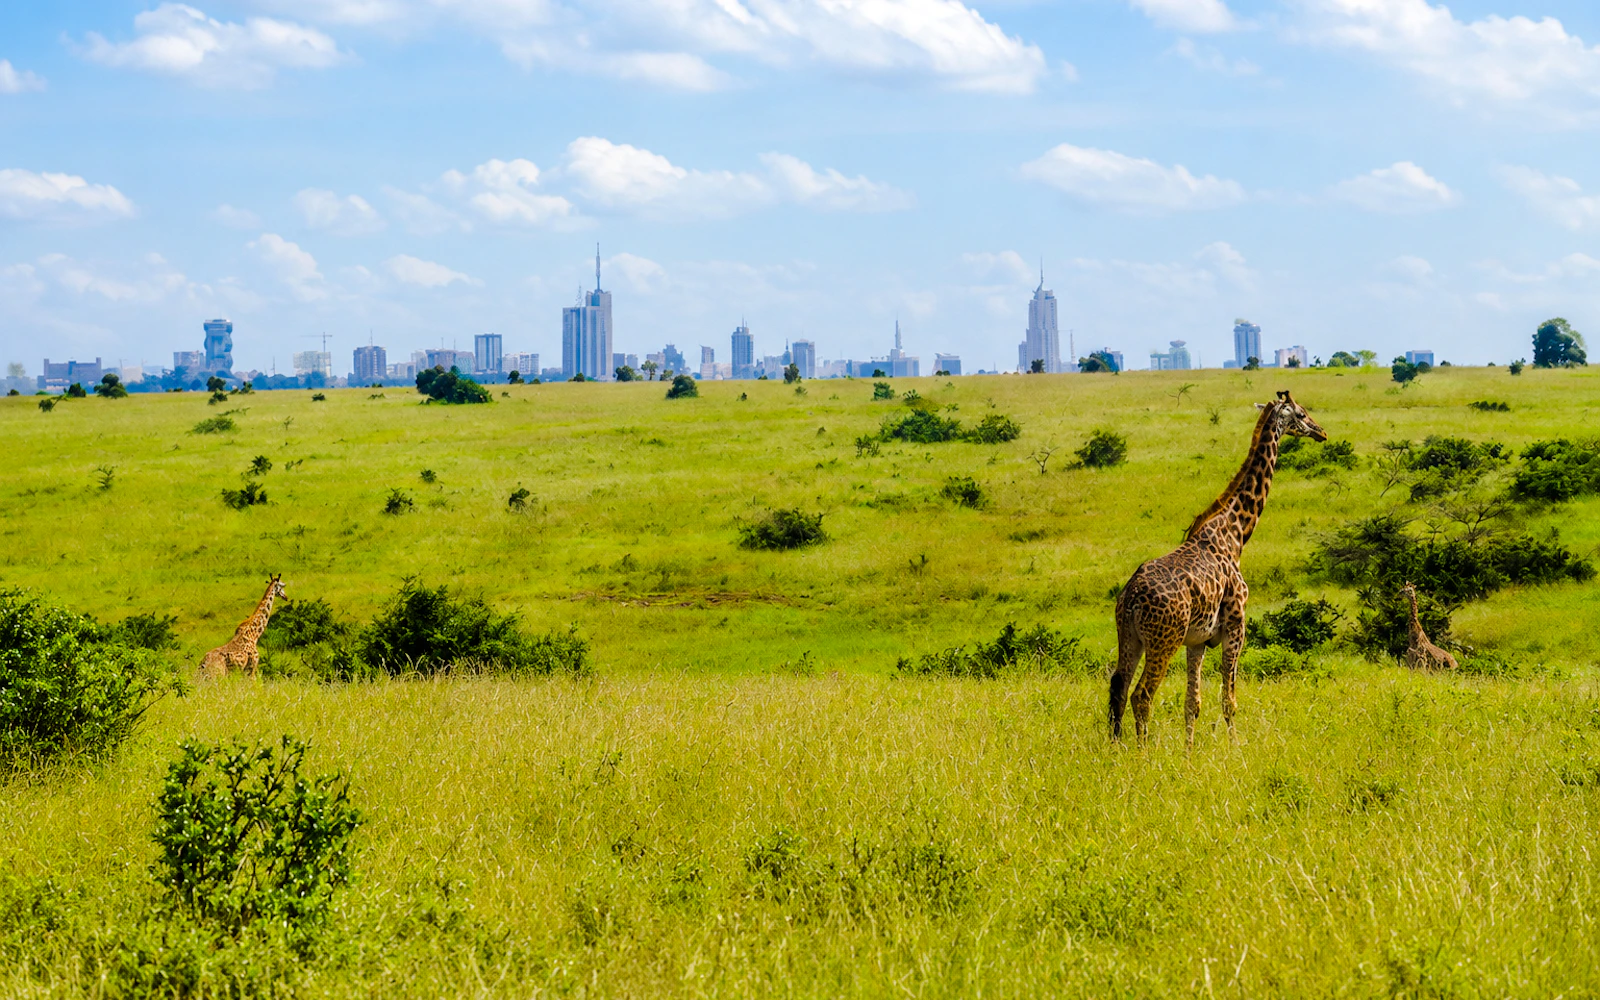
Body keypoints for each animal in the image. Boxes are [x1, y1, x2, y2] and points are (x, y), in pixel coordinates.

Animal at [1110, 391, 1328, 746]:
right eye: (1301, 413)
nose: (1321, 431)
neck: (1236, 533)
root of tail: (1132, 597)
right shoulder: (1236, 625)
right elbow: (1229, 700)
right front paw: (1235, 747)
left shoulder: (1196, 641)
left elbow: (1192, 703)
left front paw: (1188, 751)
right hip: (1163, 639)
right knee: (1142, 694)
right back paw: (1143, 752)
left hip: (1129, 636)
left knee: (1118, 686)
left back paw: (1116, 747)